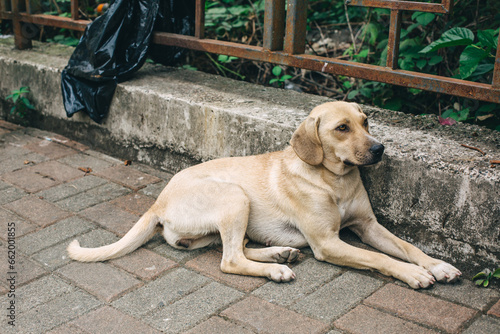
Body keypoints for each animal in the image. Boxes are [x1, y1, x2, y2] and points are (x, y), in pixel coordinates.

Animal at [67, 100, 460, 288]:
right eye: (342, 128)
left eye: (366, 123)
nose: (379, 149)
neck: (334, 181)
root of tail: (157, 203)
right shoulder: (327, 243)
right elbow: (380, 258)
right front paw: (413, 275)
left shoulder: (368, 226)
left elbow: (408, 247)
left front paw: (436, 265)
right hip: (234, 197)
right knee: (230, 260)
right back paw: (276, 269)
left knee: (236, 247)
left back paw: (279, 253)